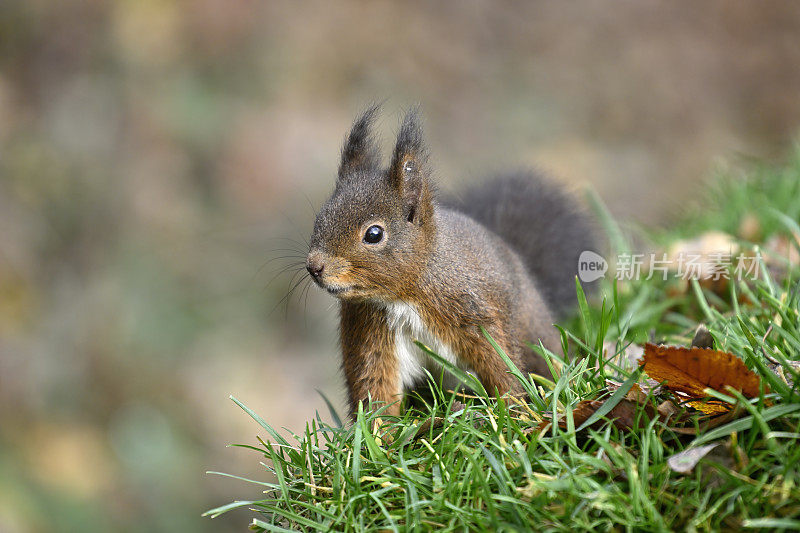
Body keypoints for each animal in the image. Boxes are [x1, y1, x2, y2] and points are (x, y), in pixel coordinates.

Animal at [304, 106, 592, 418]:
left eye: (374, 234)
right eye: (320, 217)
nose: (314, 267)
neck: (405, 295)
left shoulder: (475, 314)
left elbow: (500, 364)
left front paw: (514, 408)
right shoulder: (372, 339)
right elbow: (375, 386)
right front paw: (380, 431)